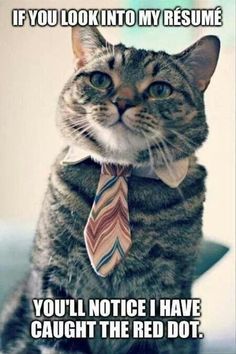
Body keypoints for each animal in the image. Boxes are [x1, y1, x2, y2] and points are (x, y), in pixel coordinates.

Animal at [0, 25, 220, 354]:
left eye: (160, 89)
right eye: (100, 79)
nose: (123, 102)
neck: (120, 172)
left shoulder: (165, 295)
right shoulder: (56, 280)